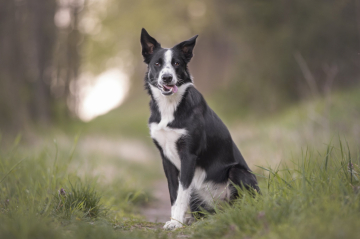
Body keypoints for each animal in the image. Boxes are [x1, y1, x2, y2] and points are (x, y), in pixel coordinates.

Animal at [140, 28, 258, 230]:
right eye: (157, 63)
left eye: (176, 63)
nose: (167, 77)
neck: (170, 107)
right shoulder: (166, 159)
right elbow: (174, 194)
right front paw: (175, 220)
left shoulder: (188, 155)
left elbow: (181, 194)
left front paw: (176, 223)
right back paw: (194, 219)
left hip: (237, 172)